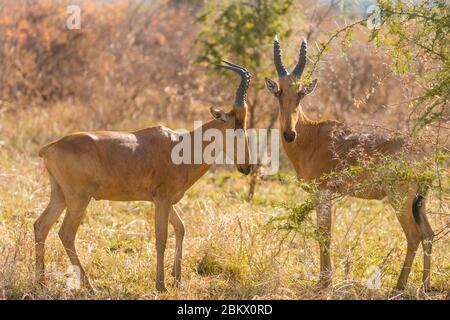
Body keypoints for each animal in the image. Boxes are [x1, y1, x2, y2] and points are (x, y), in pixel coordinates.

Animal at [34, 60, 253, 292]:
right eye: (235, 127)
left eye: (246, 125)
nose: (246, 167)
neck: (178, 145)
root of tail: (49, 147)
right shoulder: (162, 200)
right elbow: (161, 238)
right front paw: (161, 285)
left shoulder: (163, 200)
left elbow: (181, 228)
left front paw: (177, 279)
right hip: (79, 198)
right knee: (66, 233)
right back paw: (90, 287)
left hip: (59, 195)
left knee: (41, 225)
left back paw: (40, 282)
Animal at [266, 36, 434, 292]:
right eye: (279, 92)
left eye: (301, 93)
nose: (289, 134)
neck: (313, 135)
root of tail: (422, 155)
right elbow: (322, 232)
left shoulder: (324, 191)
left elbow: (325, 233)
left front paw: (324, 282)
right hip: (419, 202)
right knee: (429, 234)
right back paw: (424, 286)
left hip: (400, 199)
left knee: (414, 235)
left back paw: (399, 286)